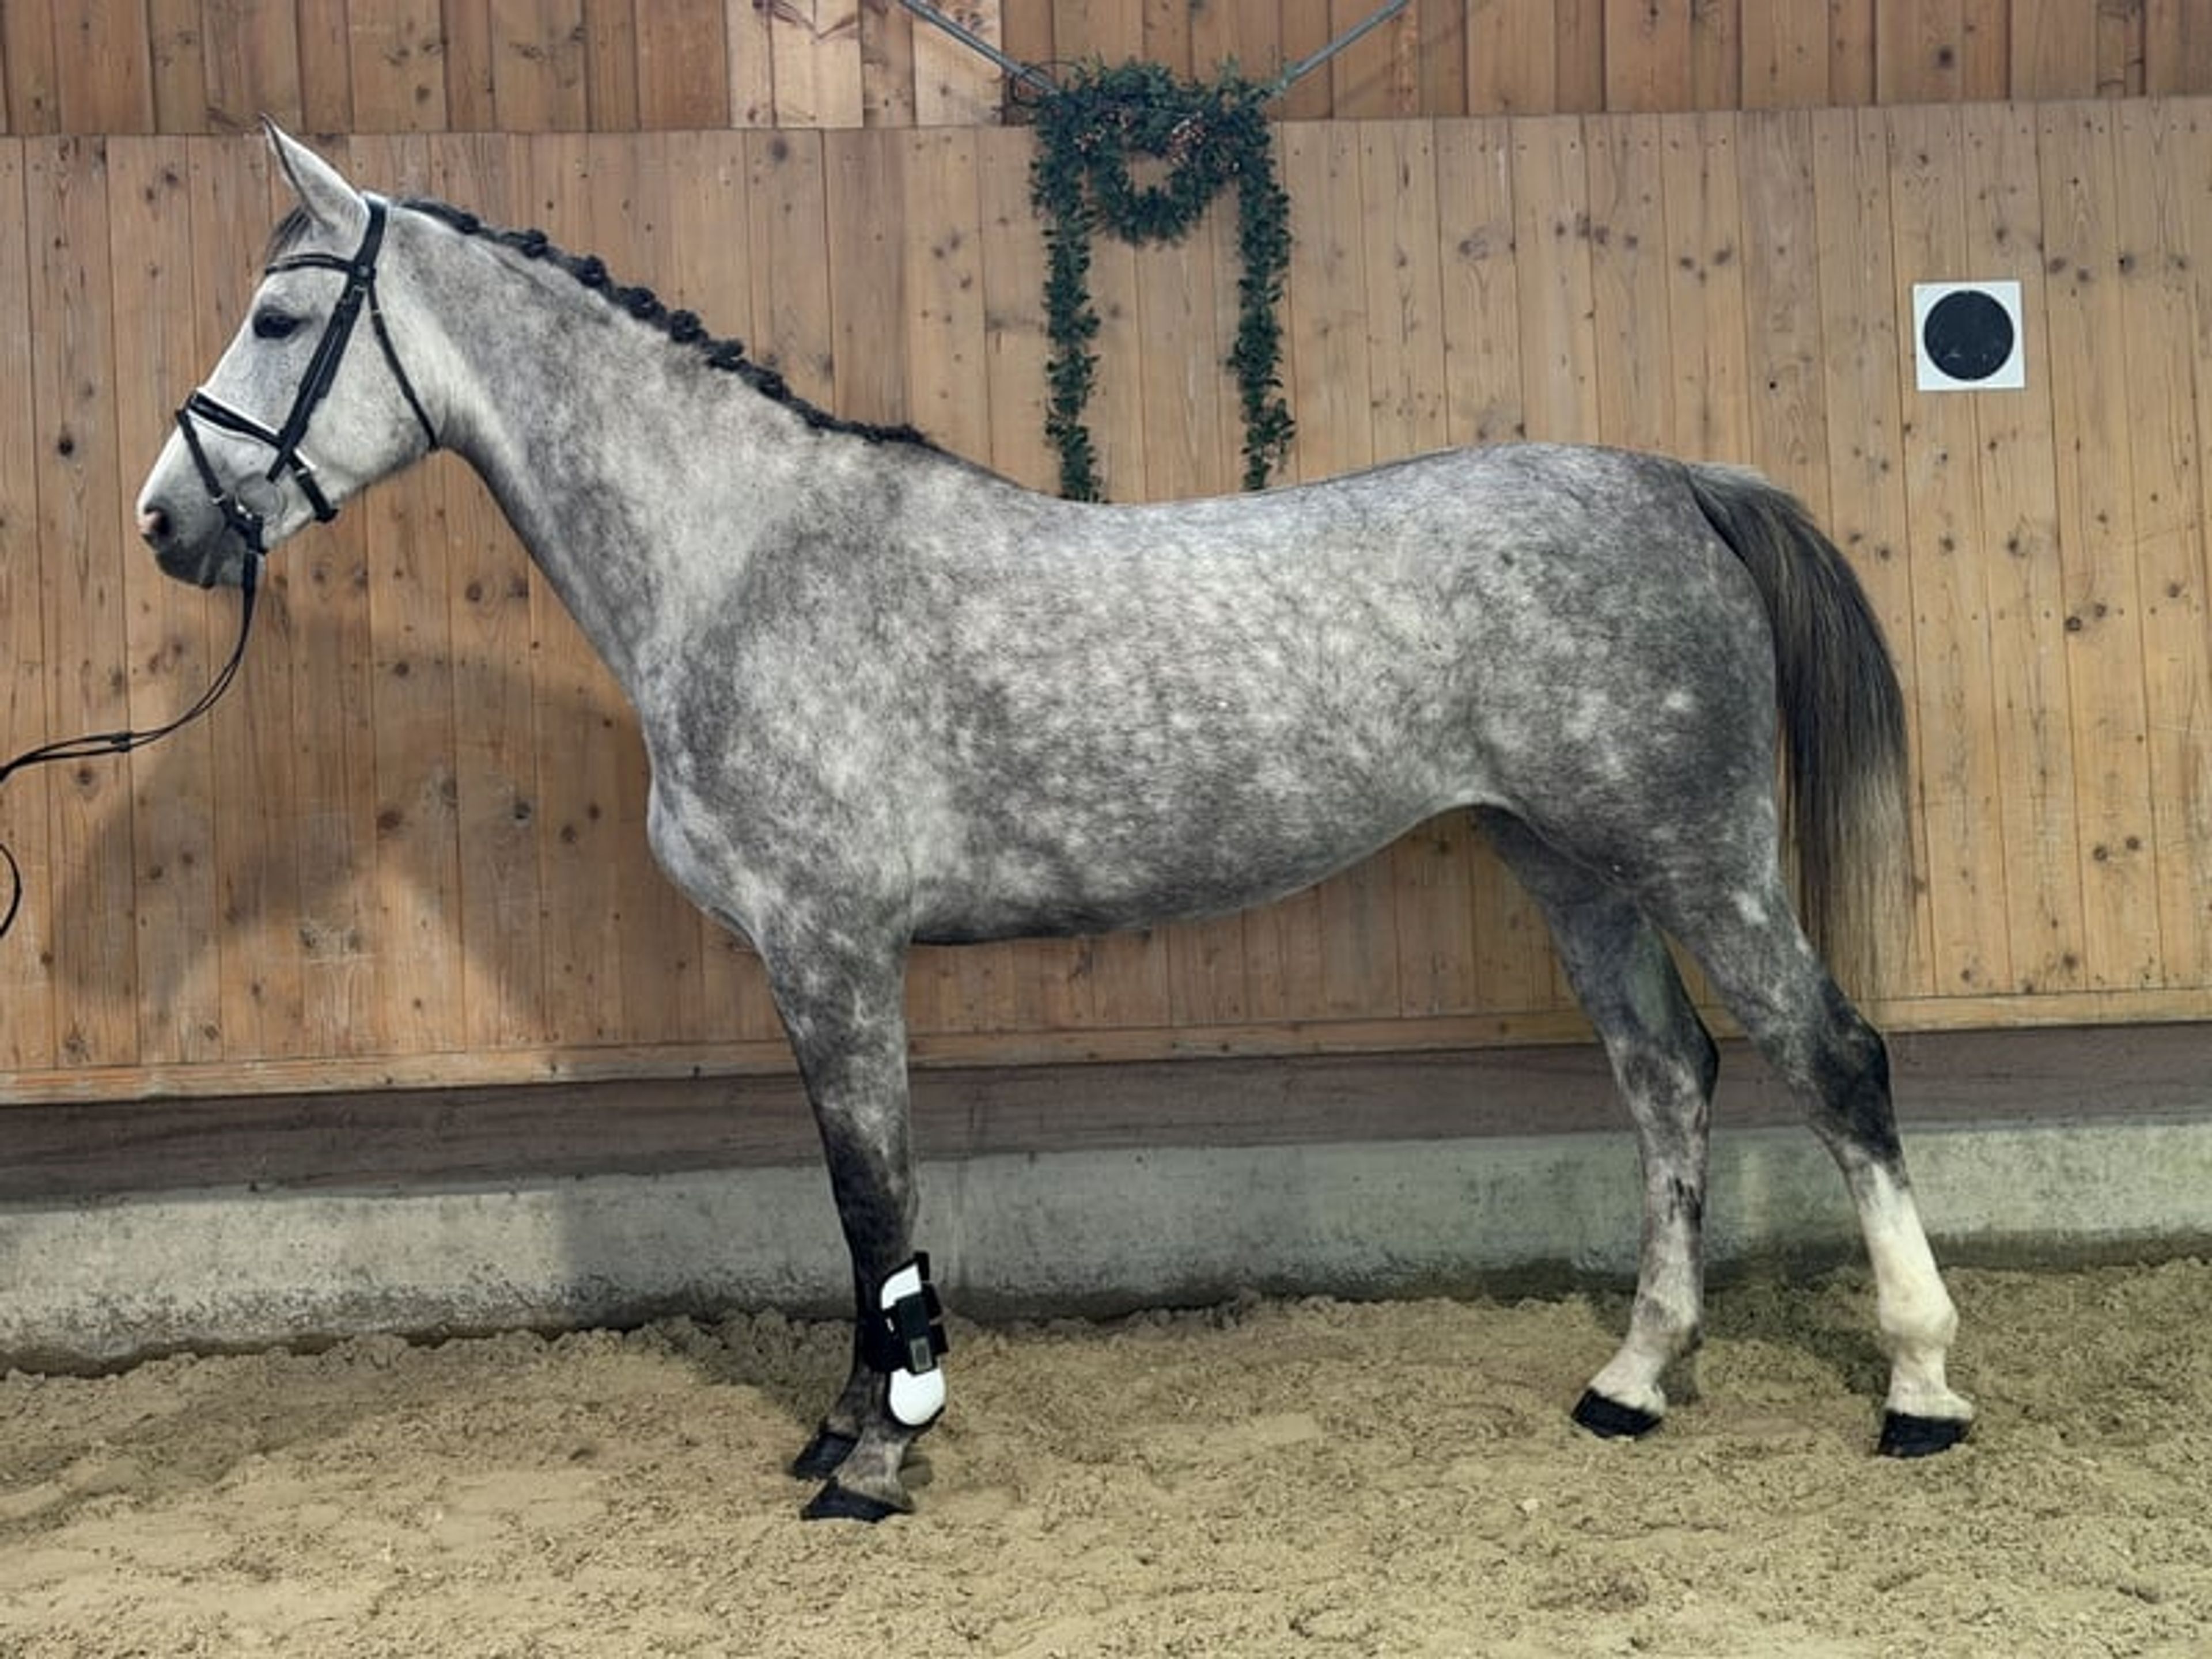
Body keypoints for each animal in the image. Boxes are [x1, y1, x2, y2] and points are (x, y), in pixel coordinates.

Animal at [135, 123, 1975, 1521]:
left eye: (283, 320)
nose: (165, 521)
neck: (746, 563)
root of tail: (1677, 484)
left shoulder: (833, 953)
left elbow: (871, 1202)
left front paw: (876, 1460)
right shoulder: (811, 965)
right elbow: (854, 1208)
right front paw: (843, 1424)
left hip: (1696, 858)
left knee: (1834, 1062)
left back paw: (1919, 1390)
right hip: (1572, 866)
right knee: (1670, 1080)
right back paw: (1634, 1381)